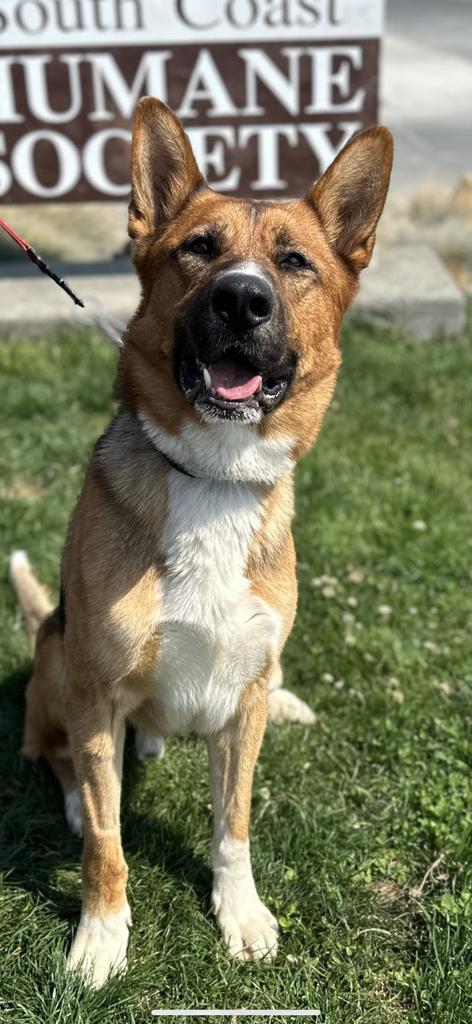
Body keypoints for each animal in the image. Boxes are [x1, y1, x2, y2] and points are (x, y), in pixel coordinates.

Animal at [10, 99, 389, 987]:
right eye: (198, 249)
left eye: (294, 262)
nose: (242, 301)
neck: (215, 476)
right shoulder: (96, 688)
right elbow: (109, 843)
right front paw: (100, 936)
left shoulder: (240, 707)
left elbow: (234, 825)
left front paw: (239, 911)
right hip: (58, 656)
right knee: (55, 752)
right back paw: (76, 792)